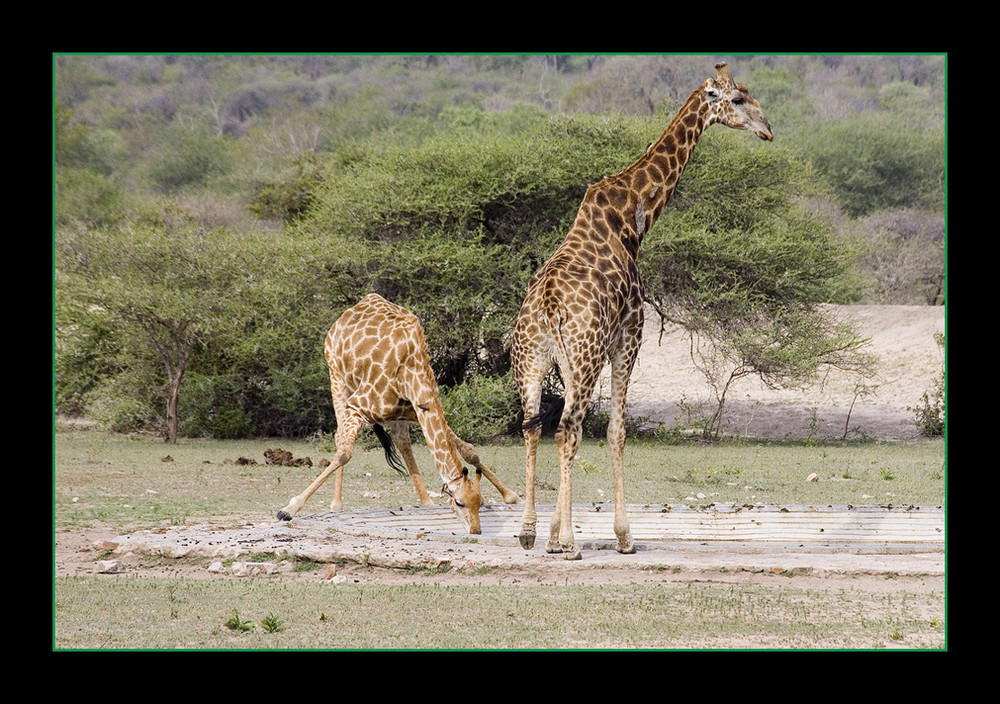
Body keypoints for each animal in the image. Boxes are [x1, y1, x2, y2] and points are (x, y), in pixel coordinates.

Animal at [278, 292, 520, 532]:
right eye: (459, 502)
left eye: (480, 502)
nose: (476, 531)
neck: (411, 370)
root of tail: (353, 308)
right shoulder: (357, 406)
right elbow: (344, 453)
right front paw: (289, 509)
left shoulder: (418, 409)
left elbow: (470, 450)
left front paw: (511, 495)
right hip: (337, 379)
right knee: (340, 437)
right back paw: (336, 504)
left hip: (396, 415)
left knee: (401, 440)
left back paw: (426, 503)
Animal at [508, 60, 772, 560]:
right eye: (739, 99)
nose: (768, 129)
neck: (632, 217)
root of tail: (547, 304)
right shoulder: (630, 336)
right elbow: (616, 432)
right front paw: (622, 536)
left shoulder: (575, 358)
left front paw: (550, 533)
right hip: (585, 355)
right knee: (568, 429)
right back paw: (572, 544)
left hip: (532, 359)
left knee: (533, 428)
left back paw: (531, 533)